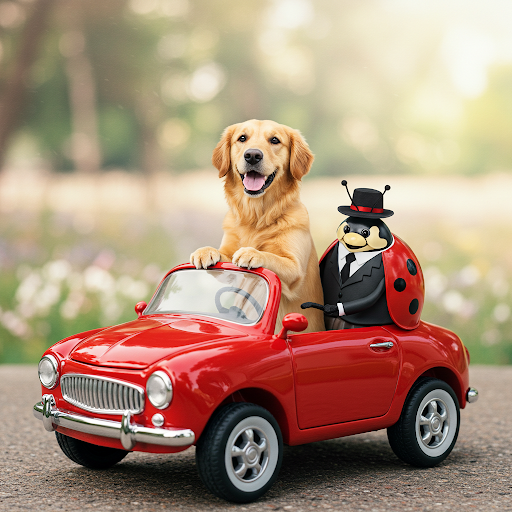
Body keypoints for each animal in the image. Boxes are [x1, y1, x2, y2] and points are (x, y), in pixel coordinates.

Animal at [188, 118, 324, 334]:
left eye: (275, 140)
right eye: (242, 138)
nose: (252, 155)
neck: (256, 216)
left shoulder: (295, 269)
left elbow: (272, 257)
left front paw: (252, 253)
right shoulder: (232, 267)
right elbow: (223, 258)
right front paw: (205, 251)